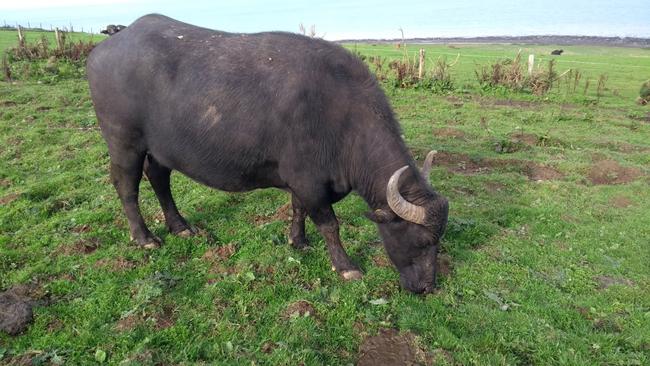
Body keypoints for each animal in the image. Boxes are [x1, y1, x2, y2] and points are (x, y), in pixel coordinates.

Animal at [86, 15, 448, 294]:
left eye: (438, 239)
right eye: (420, 241)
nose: (427, 287)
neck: (340, 116)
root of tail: (113, 41)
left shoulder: (301, 181)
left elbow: (298, 210)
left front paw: (297, 241)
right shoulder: (309, 181)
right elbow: (329, 224)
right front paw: (346, 266)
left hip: (160, 148)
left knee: (159, 178)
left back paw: (180, 227)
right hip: (124, 142)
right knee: (126, 186)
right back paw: (144, 237)